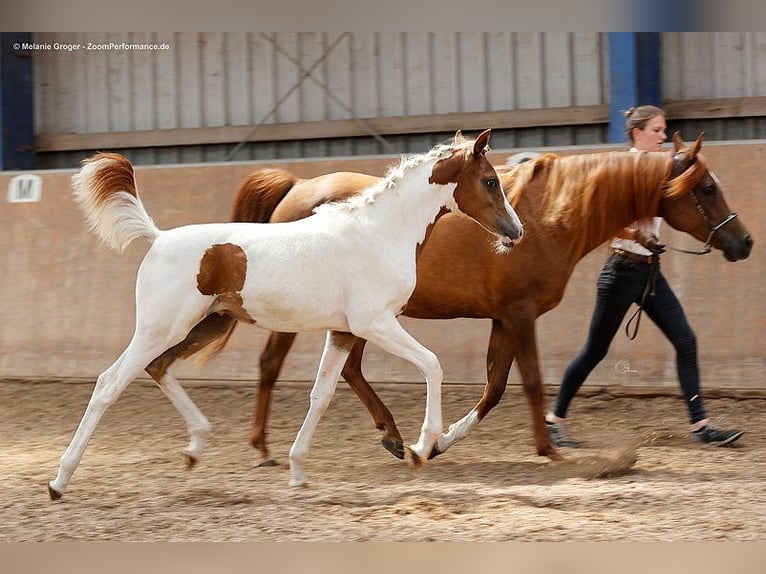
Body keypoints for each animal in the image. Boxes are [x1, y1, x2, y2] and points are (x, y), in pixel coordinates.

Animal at [49, 130, 528, 500]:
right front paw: (421, 446)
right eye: (490, 181)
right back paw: (59, 481)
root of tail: (158, 237)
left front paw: (298, 471)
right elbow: (432, 364)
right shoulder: (375, 323)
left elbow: (322, 394)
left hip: (206, 324)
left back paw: (197, 447)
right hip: (160, 327)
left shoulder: (342, 331)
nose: (516, 231)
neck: (379, 234)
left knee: (159, 367)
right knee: (110, 383)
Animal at [141, 130, 752, 468]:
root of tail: (296, 187)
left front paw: (436, 443)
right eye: (706, 187)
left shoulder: (503, 319)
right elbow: (527, 383)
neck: (551, 215)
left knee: (347, 371)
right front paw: (546, 449)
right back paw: (269, 449)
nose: (743, 242)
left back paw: (387, 437)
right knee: (272, 364)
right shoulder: (520, 315)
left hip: (354, 320)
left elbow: (496, 387)